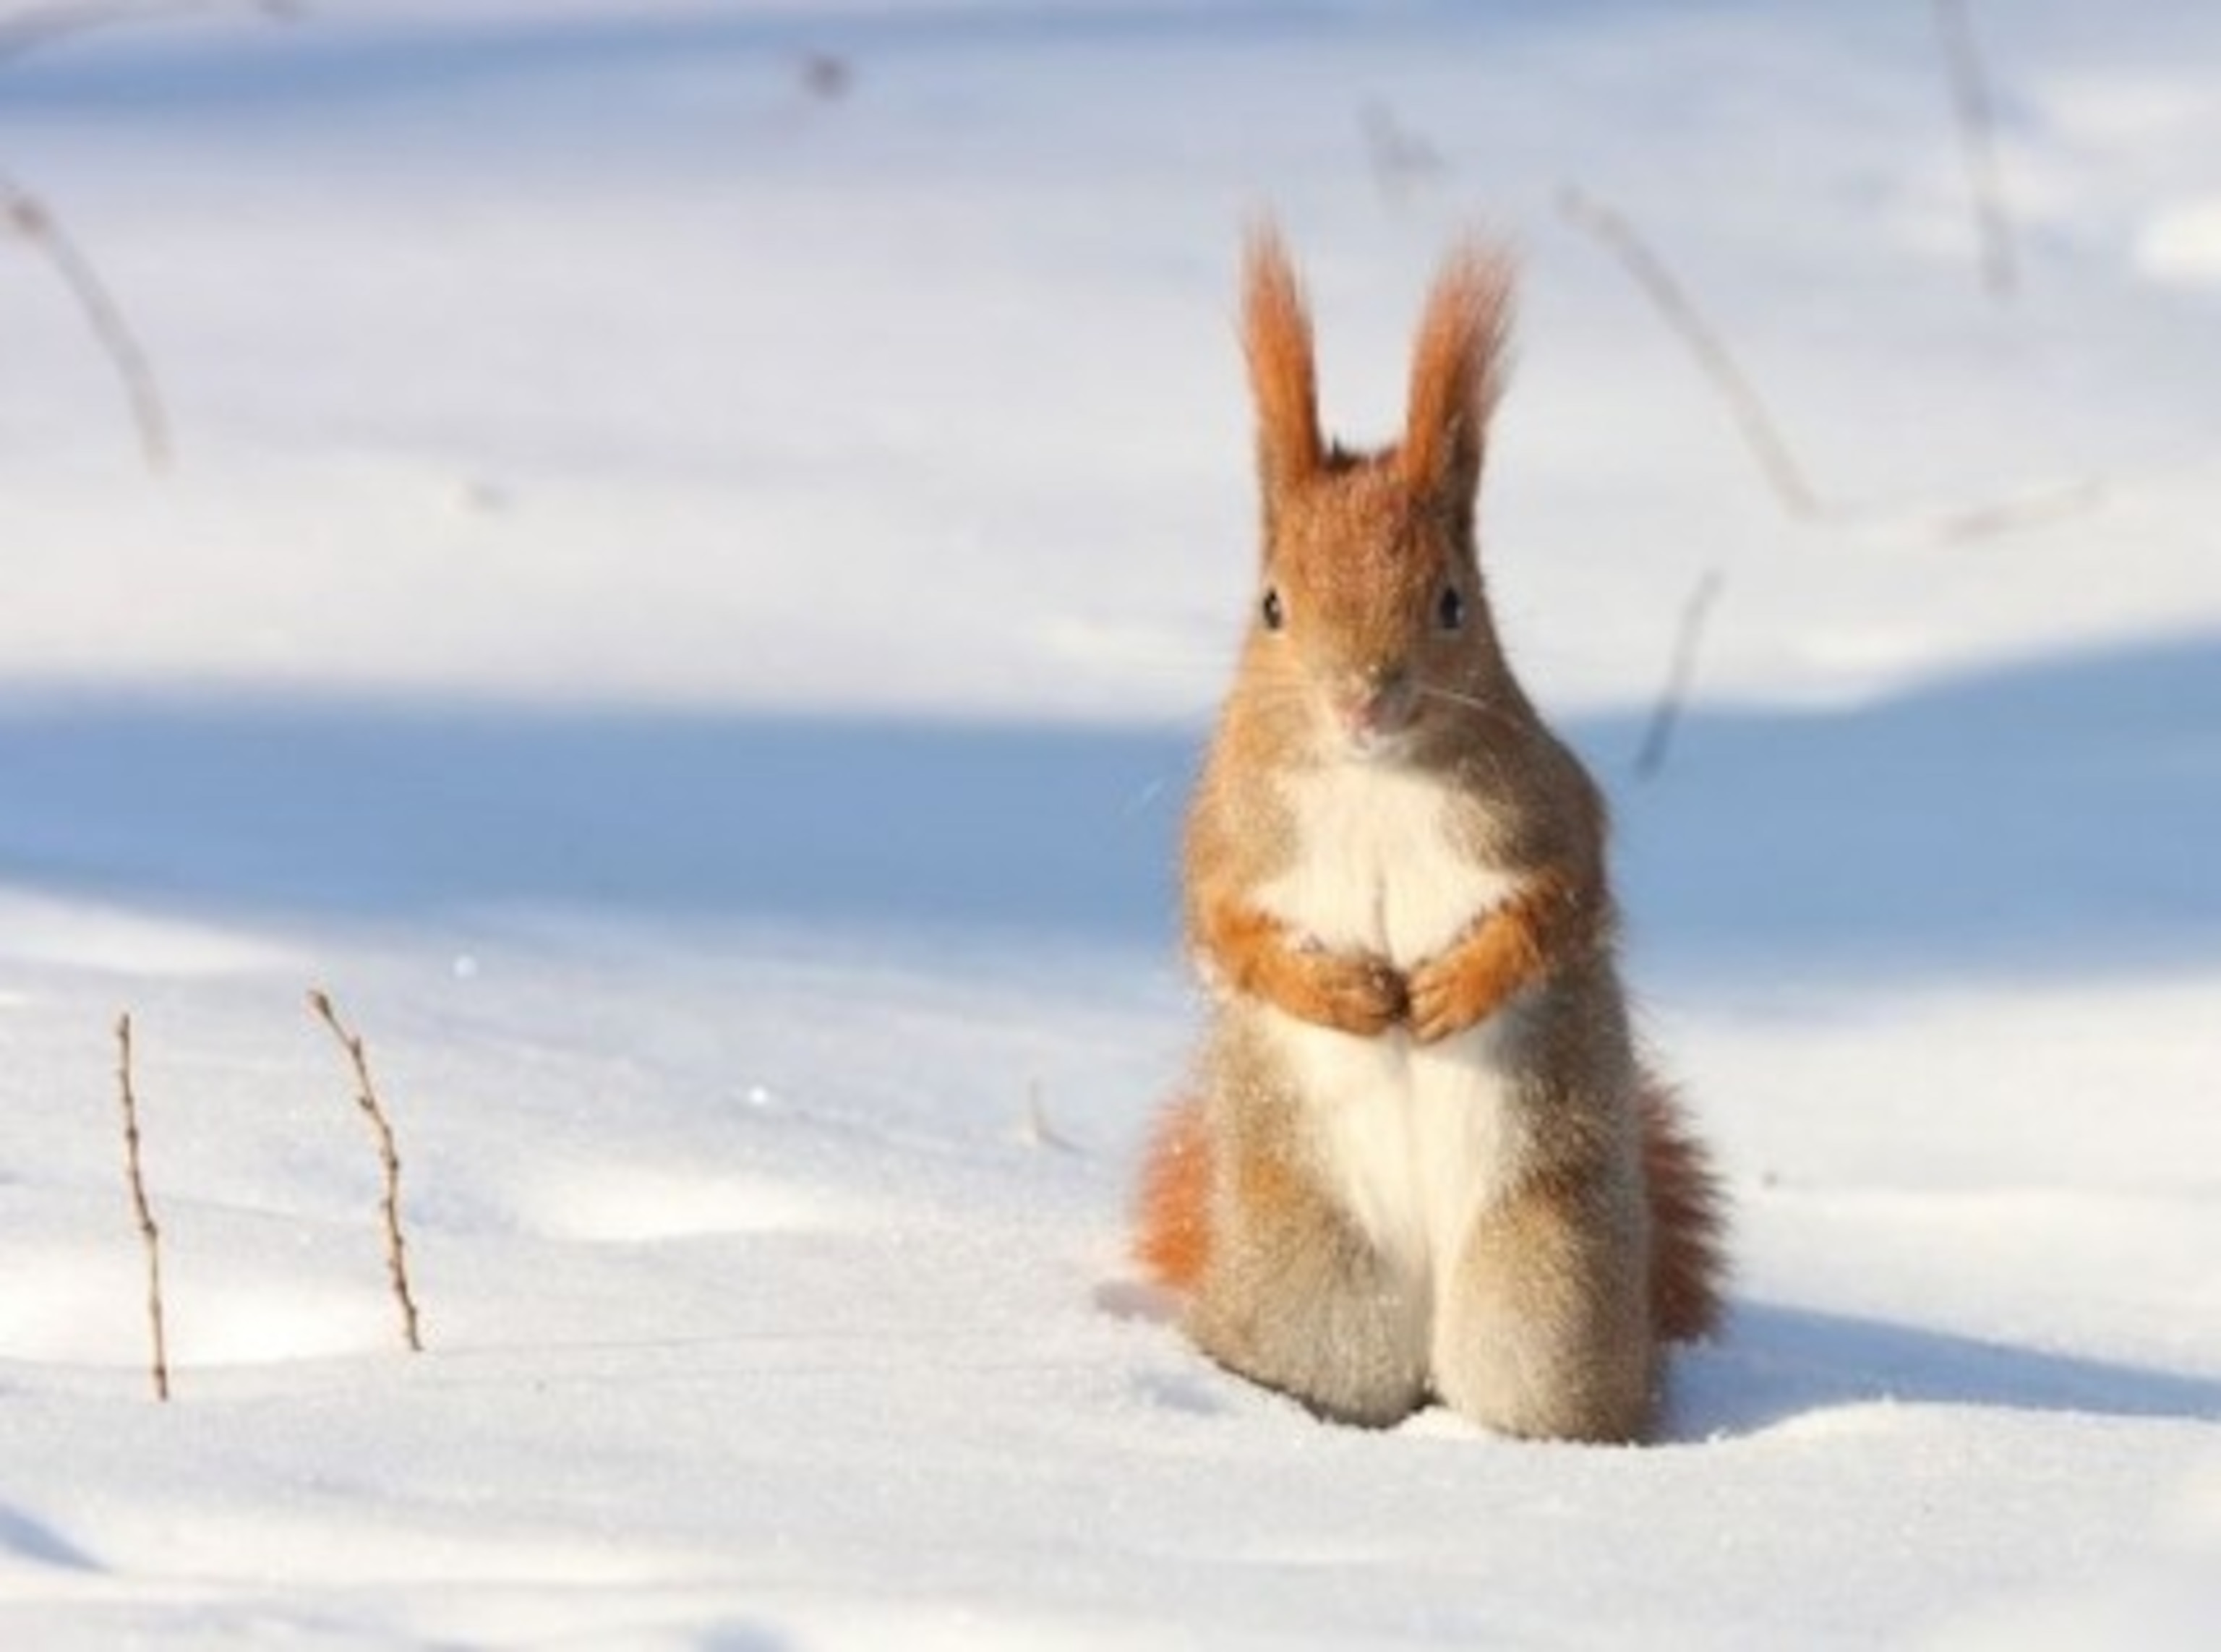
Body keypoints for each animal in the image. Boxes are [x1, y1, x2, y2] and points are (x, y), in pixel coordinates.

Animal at [1132, 228, 1727, 1442]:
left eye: (1454, 602)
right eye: (1272, 604)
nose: (1364, 697)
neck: (1374, 780)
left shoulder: (1553, 813)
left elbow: (1559, 907)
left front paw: (1457, 988)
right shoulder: (1226, 840)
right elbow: (1225, 933)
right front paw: (1345, 995)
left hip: (1547, 1288)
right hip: (1317, 1288)